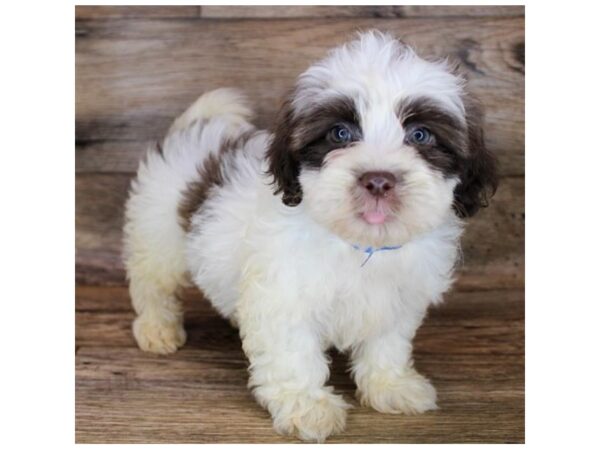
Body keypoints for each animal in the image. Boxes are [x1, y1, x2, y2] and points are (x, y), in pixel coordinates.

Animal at [122, 29, 496, 442]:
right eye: (340, 133)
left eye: (420, 134)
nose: (378, 180)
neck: (358, 245)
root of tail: (196, 128)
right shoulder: (284, 296)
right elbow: (293, 354)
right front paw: (306, 405)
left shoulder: (396, 299)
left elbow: (387, 344)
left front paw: (390, 385)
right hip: (157, 234)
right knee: (153, 282)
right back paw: (157, 328)